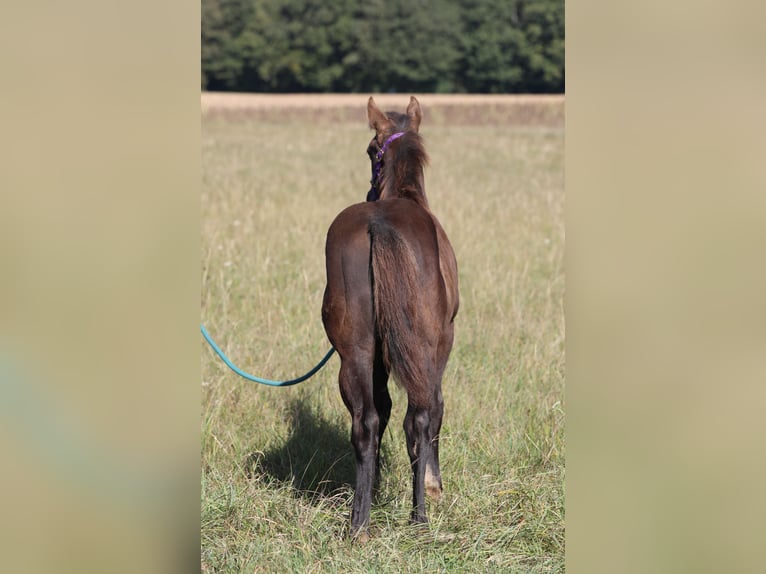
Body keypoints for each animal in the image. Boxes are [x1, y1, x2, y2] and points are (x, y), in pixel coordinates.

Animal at [320, 97, 460, 544]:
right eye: (372, 149)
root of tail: (378, 223)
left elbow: (379, 412)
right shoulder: (442, 346)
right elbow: (434, 412)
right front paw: (433, 486)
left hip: (356, 353)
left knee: (365, 422)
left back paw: (360, 524)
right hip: (424, 347)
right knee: (419, 417)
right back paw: (419, 518)